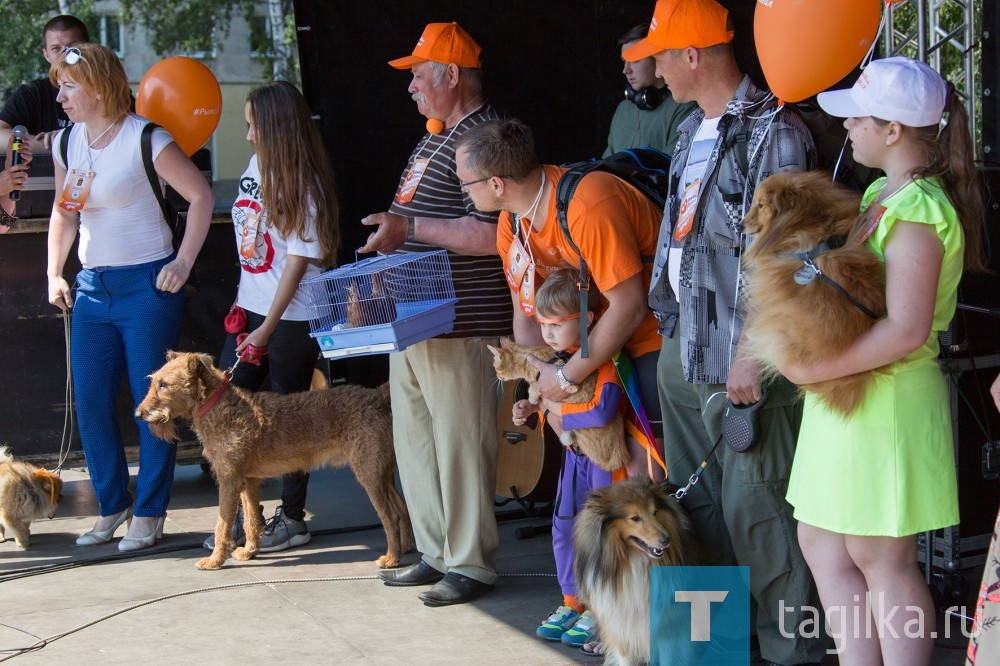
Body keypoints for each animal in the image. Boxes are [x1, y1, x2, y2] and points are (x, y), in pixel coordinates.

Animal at [135, 350, 412, 568]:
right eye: (154, 381)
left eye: (164, 384)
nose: (138, 414)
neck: (218, 407)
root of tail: (376, 396)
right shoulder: (248, 481)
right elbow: (250, 520)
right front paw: (249, 551)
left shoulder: (228, 481)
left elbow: (222, 524)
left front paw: (214, 560)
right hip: (383, 471)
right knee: (402, 507)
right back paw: (407, 546)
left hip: (368, 474)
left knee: (390, 515)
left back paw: (391, 558)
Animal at [576, 478, 700, 664]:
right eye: (635, 518)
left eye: (655, 512)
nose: (666, 540)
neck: (635, 561)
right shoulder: (623, 630)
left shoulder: (669, 628)